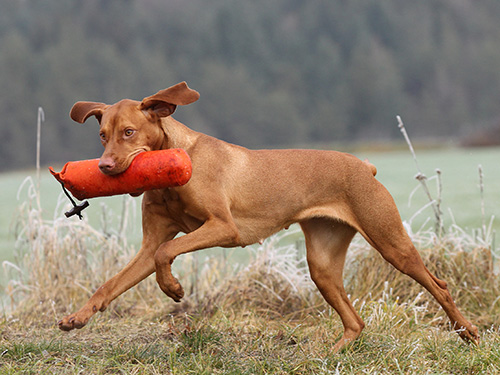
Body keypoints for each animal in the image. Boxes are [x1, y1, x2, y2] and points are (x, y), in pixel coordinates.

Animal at [58, 81, 480, 352]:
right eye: (102, 135)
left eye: (129, 132)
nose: (104, 167)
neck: (173, 172)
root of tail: (364, 164)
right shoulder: (149, 245)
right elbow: (111, 284)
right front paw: (76, 318)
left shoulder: (224, 228)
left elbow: (168, 252)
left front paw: (174, 289)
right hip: (322, 262)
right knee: (355, 321)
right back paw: (330, 353)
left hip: (390, 241)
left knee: (439, 285)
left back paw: (468, 332)